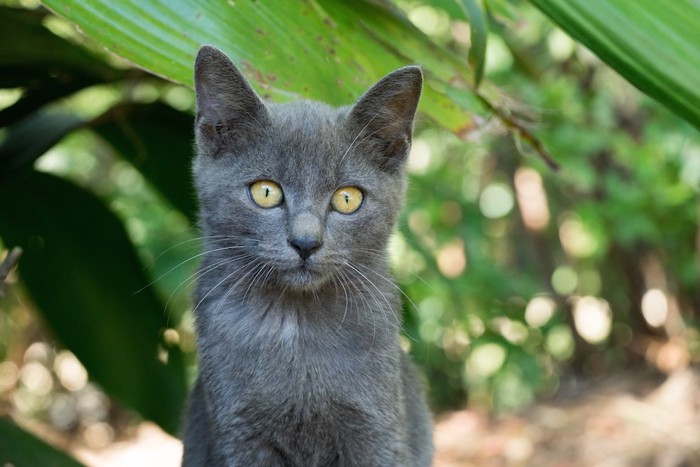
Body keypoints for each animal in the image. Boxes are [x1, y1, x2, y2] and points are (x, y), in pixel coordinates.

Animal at [180, 44, 432, 467]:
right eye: (265, 192)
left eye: (347, 199)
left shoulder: (376, 431)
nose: (305, 242)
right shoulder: (239, 434)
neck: (297, 326)